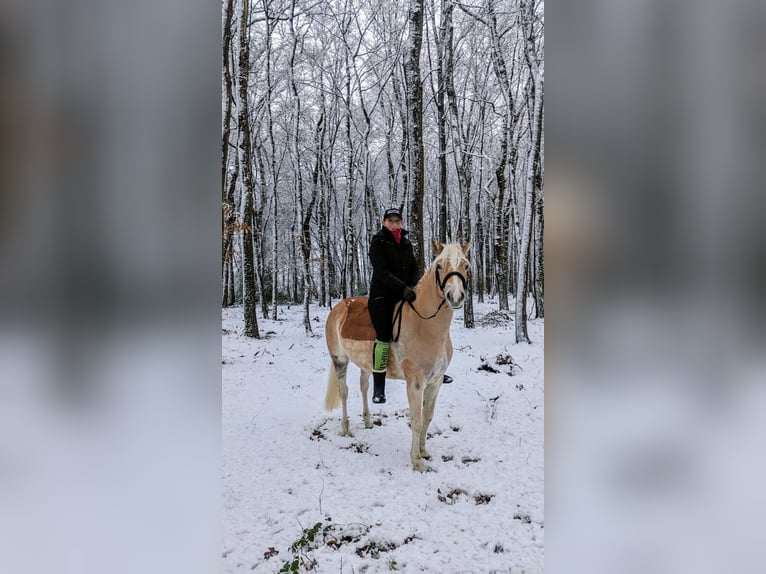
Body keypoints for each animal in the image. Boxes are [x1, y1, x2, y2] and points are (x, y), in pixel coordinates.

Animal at [323, 238, 471, 472]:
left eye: (465, 266)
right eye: (439, 266)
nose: (455, 297)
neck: (425, 325)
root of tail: (338, 307)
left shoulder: (436, 382)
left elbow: (427, 418)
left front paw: (424, 451)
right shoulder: (416, 384)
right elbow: (416, 421)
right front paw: (417, 461)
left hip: (365, 364)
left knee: (364, 386)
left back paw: (368, 420)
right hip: (340, 360)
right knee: (344, 392)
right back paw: (346, 428)